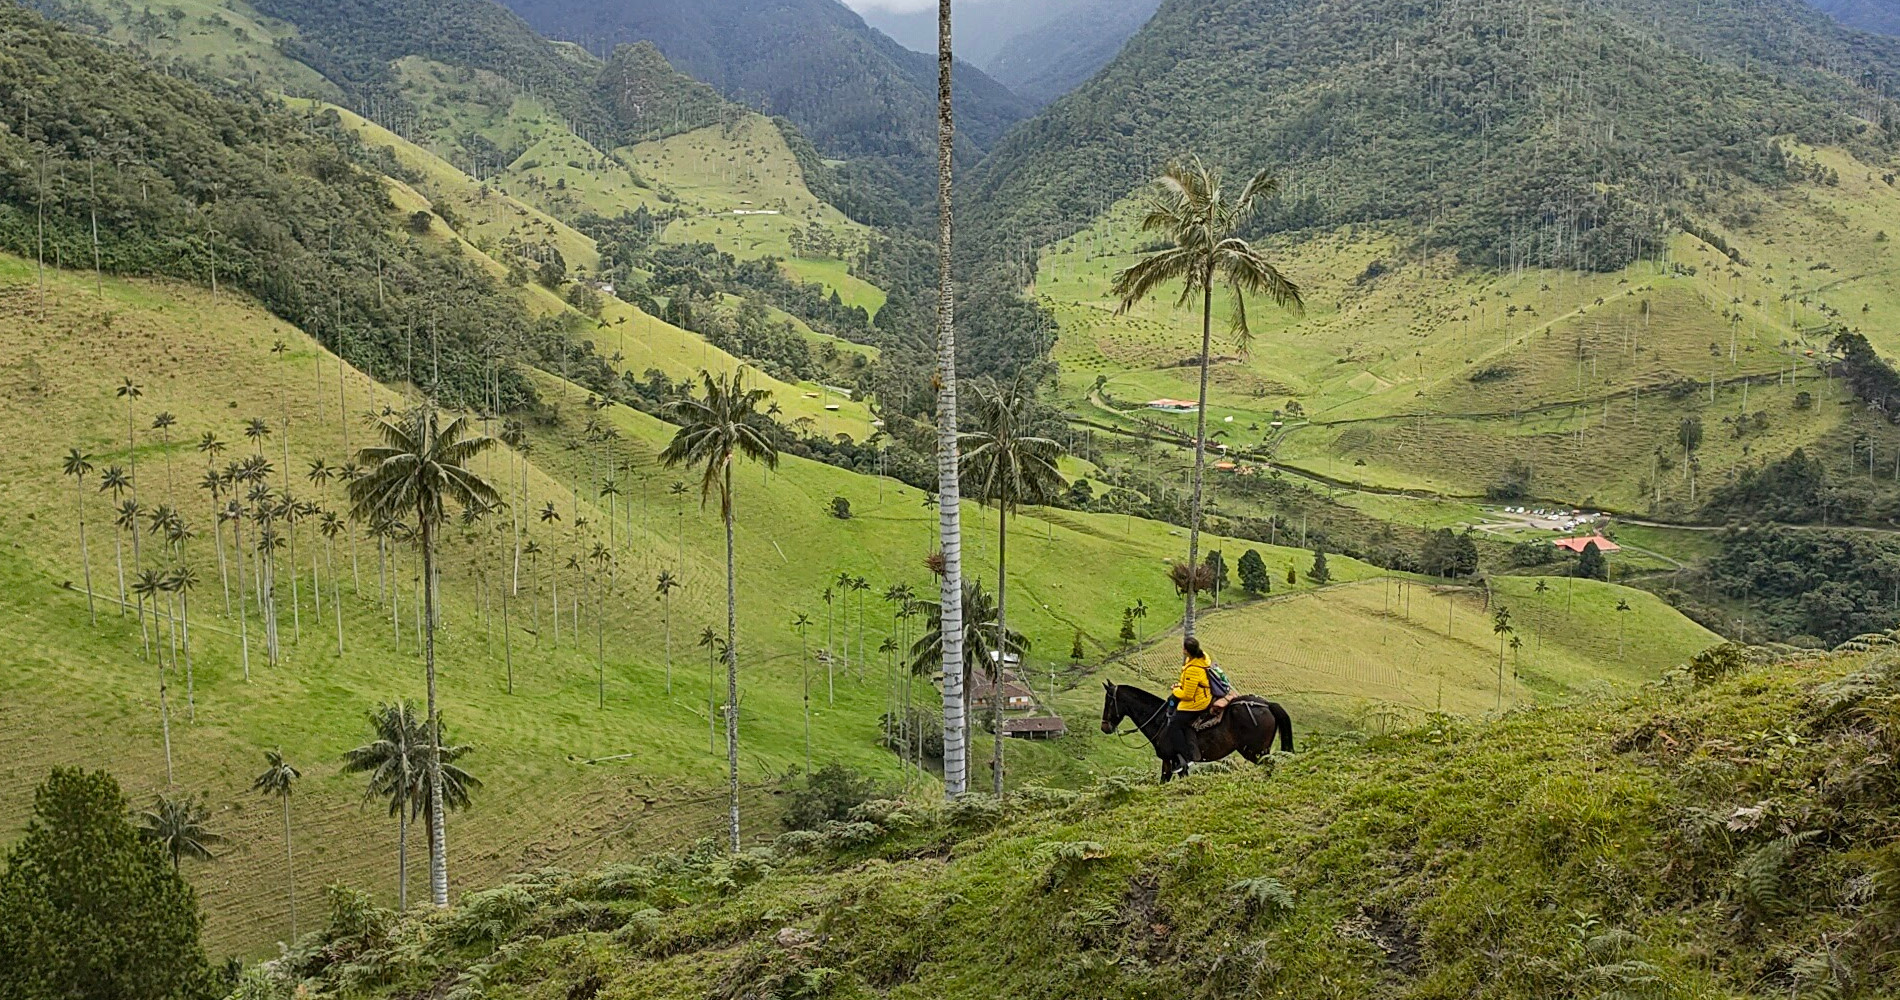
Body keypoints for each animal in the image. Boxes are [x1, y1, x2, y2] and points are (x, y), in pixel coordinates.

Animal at [1102, 680, 1292, 783]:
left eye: (1109, 701)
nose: (1104, 727)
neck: (1161, 721)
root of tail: (1267, 705)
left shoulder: (1176, 760)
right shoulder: (1170, 761)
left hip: (1255, 752)